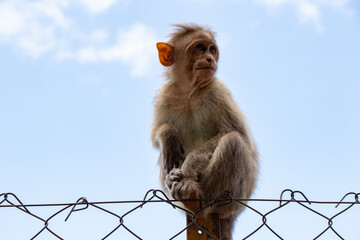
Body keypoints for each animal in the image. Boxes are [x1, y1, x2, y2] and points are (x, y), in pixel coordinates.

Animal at [150, 23, 258, 239]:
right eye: (200, 48)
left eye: (212, 50)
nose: (209, 58)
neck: (189, 93)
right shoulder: (165, 95)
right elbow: (156, 134)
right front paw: (167, 135)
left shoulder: (217, 90)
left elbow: (239, 134)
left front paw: (189, 165)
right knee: (165, 156)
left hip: (236, 198)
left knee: (233, 141)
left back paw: (195, 197)